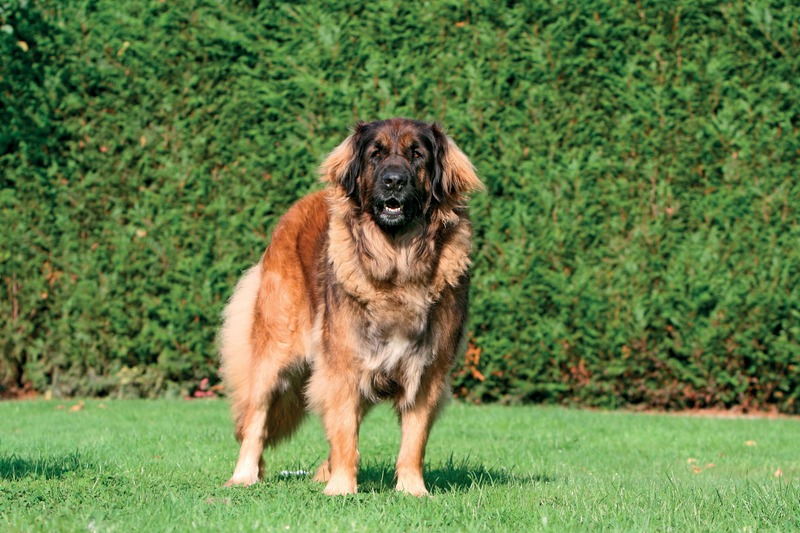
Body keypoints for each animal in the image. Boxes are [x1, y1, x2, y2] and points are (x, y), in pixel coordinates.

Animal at [217, 116, 482, 494]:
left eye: (417, 154)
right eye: (376, 154)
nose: (393, 181)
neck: (396, 262)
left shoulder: (425, 372)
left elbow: (413, 440)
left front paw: (412, 490)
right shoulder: (343, 365)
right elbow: (344, 431)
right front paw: (342, 488)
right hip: (274, 353)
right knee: (256, 419)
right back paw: (243, 477)